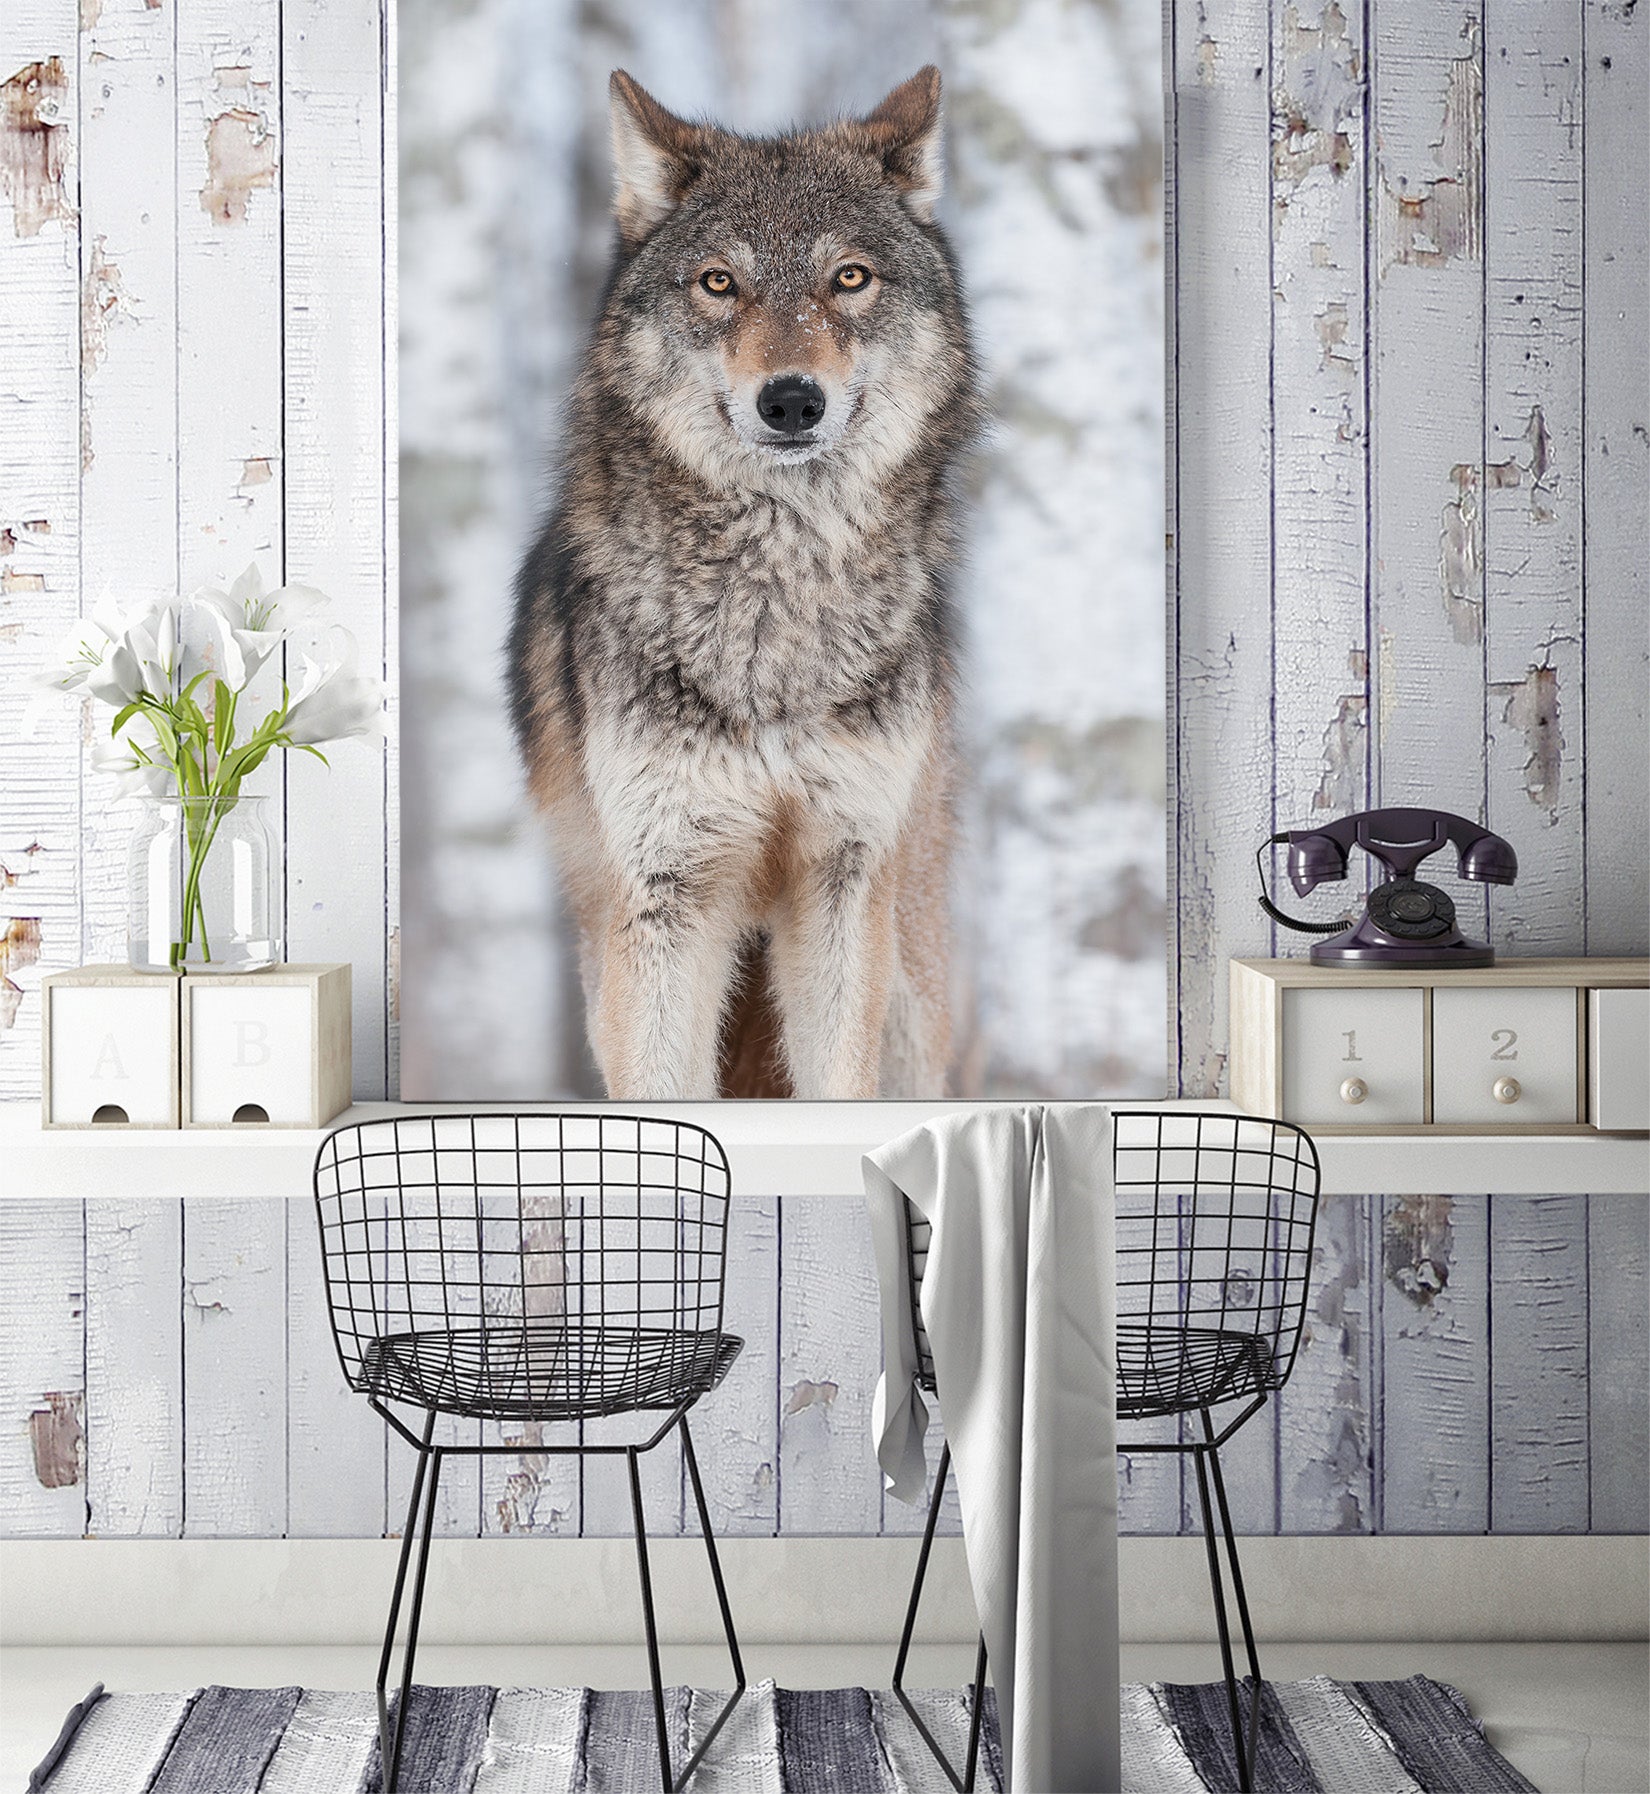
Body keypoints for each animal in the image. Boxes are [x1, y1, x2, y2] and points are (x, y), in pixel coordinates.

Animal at [508, 65, 979, 1100]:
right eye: (720, 282)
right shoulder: (663, 896)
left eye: (850, 277)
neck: (778, 601)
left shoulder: (843, 880)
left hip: (910, 988)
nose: (792, 400)